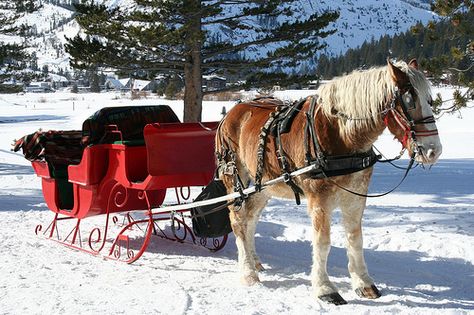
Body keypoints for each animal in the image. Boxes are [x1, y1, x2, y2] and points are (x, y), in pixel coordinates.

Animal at [217, 59, 442, 306]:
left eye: (430, 100)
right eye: (409, 100)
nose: (433, 151)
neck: (342, 135)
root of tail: (232, 113)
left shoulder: (356, 197)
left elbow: (355, 238)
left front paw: (363, 283)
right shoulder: (320, 200)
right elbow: (322, 243)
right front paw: (325, 288)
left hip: (264, 185)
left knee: (251, 218)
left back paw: (254, 260)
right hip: (235, 177)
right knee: (238, 220)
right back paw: (248, 272)